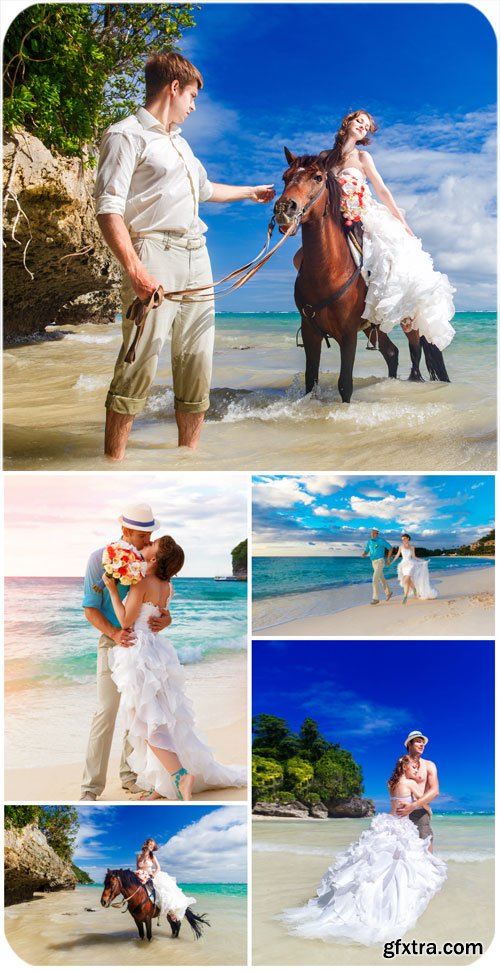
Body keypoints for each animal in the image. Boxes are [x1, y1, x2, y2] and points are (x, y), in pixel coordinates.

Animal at [274, 148, 450, 398]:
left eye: (317, 177)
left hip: (409, 321)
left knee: (415, 353)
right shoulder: (310, 332)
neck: (327, 271)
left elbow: (345, 383)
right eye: (285, 177)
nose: (284, 208)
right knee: (391, 353)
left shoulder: (348, 334)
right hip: (372, 326)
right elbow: (311, 380)